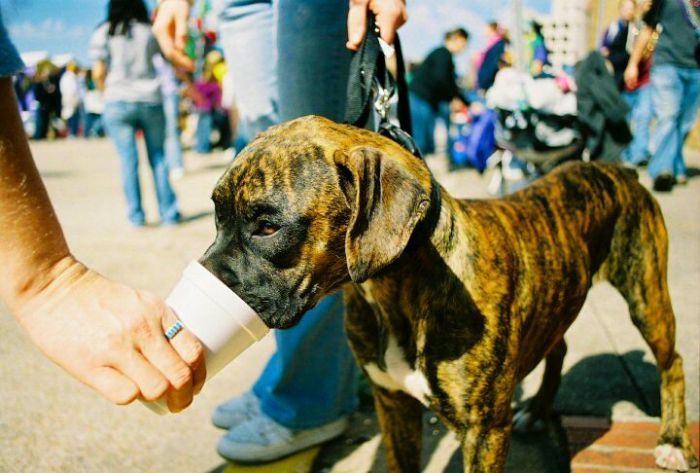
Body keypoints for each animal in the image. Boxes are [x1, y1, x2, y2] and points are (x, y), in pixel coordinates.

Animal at [200, 115, 696, 472]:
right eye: (217, 216)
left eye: (267, 227)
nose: (205, 277)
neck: (396, 288)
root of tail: (619, 169)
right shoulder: (394, 405)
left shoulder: (483, 432)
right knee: (559, 345)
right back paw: (538, 409)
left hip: (646, 295)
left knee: (671, 362)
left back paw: (673, 441)